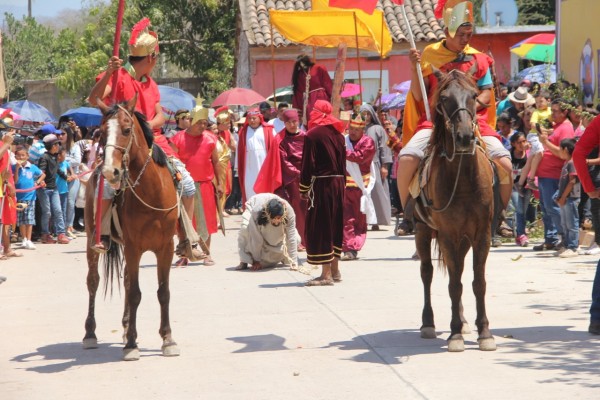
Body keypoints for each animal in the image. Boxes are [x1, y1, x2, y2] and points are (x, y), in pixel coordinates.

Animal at [83, 95, 179, 360]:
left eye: (126, 130)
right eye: (101, 133)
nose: (110, 171)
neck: (152, 191)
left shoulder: (165, 248)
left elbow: (163, 292)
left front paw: (167, 340)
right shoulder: (134, 248)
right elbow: (135, 293)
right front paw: (132, 345)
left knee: (125, 280)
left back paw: (126, 329)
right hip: (92, 241)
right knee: (93, 281)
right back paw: (90, 334)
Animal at [418, 70, 496, 352]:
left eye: (473, 95)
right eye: (444, 98)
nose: (464, 137)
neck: (463, 179)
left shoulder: (482, 234)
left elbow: (477, 282)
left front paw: (484, 332)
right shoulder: (448, 235)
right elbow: (453, 285)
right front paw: (454, 335)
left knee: (460, 271)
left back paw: (462, 321)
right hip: (423, 230)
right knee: (427, 273)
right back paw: (428, 323)